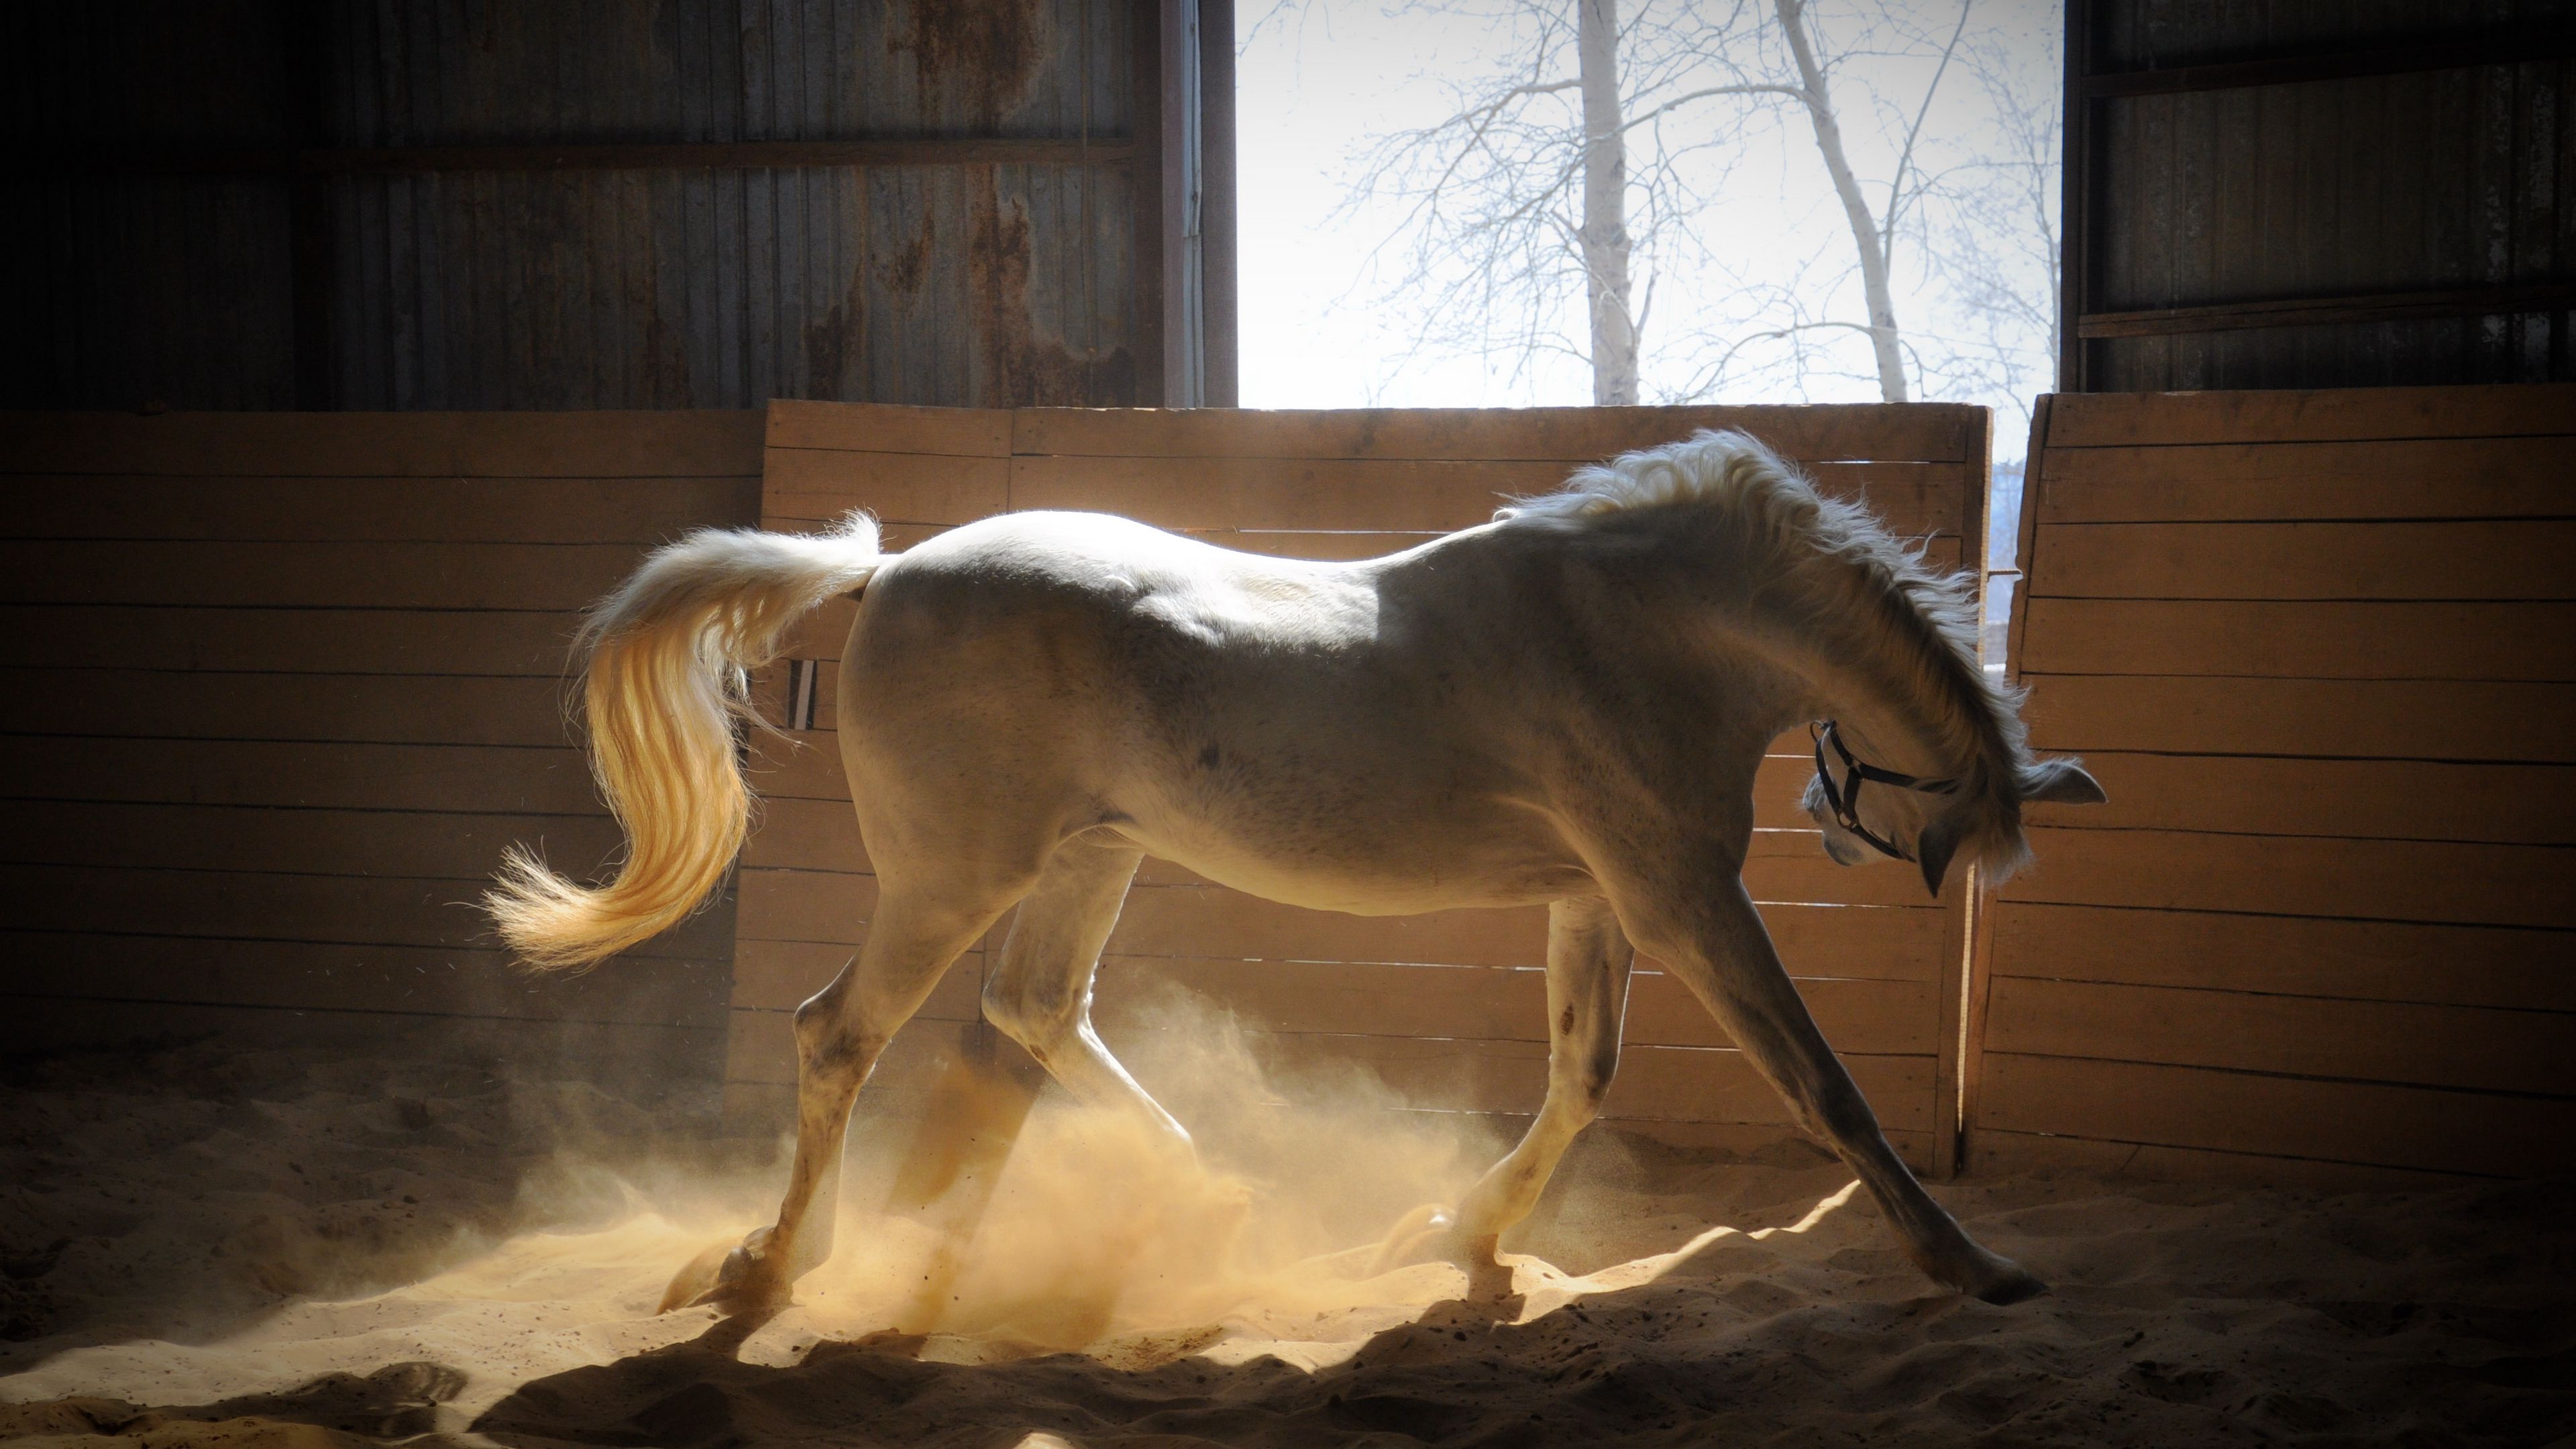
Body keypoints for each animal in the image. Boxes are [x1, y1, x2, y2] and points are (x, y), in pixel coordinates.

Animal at [487, 429, 2104, 1313]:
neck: (1637, 626)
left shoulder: (1599, 903)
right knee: (841, 1035)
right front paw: (1974, 1266)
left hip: (1090, 860)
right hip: (952, 879)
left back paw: (1209, 1197)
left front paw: (1458, 1236)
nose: (1846, 829)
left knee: (1035, 1013)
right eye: (1941, 833)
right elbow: (1825, 1090)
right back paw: (771, 1267)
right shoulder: (1684, 900)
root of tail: (885, 573)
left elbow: (1582, 1078)